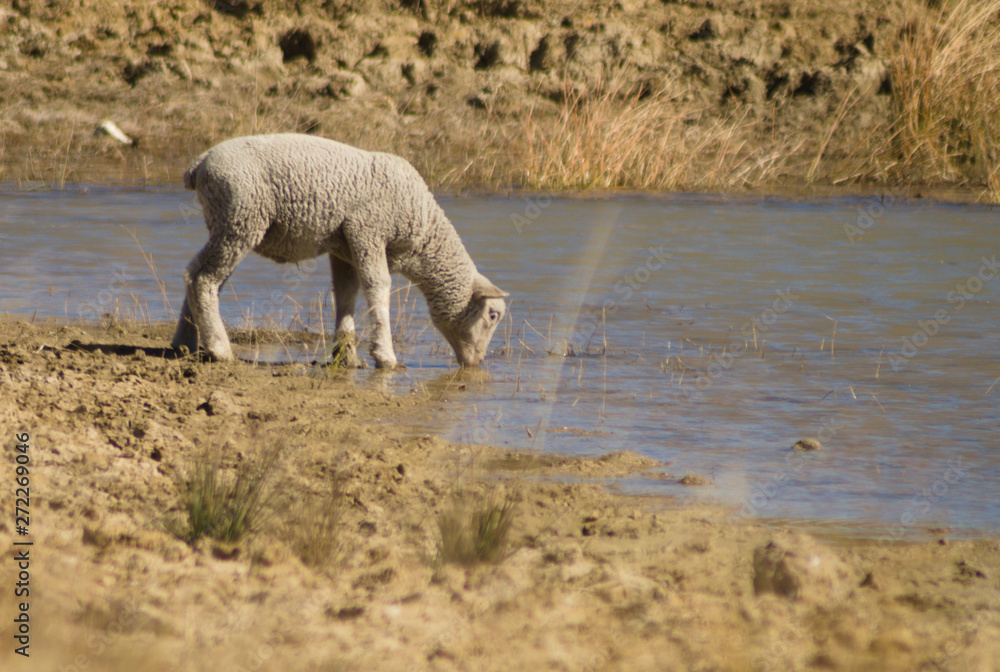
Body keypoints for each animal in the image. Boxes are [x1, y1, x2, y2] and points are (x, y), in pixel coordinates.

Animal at [171, 133, 509, 369]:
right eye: (493, 315)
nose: (477, 363)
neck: (424, 237)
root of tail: (199, 164)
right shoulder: (367, 230)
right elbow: (378, 286)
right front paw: (385, 356)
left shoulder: (345, 247)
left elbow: (346, 294)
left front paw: (346, 357)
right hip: (241, 216)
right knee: (204, 279)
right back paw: (219, 349)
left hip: (226, 221)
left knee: (196, 275)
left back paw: (184, 344)